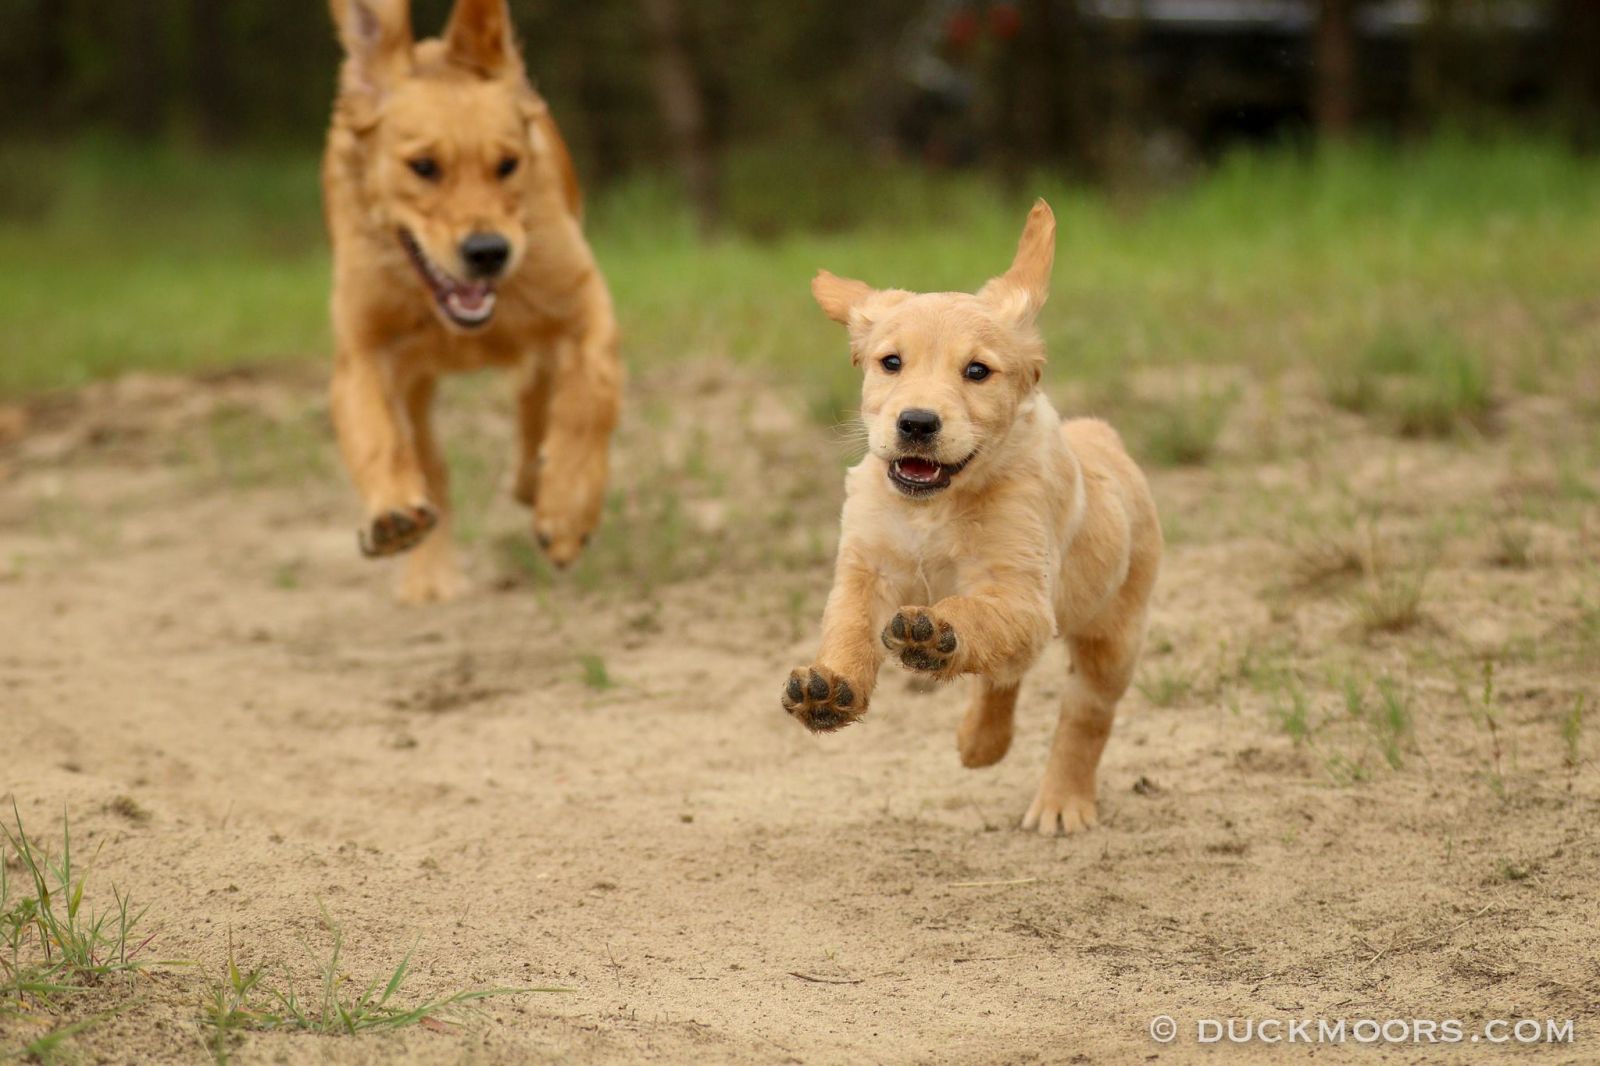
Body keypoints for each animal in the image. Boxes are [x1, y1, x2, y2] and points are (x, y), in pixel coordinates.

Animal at [323, 0, 617, 598]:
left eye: (507, 164)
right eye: (423, 167)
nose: (487, 252)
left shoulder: (584, 304)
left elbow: (586, 404)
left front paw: (566, 513)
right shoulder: (362, 347)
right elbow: (374, 430)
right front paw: (392, 512)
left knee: (536, 402)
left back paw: (534, 481)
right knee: (433, 462)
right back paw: (431, 576)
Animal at [777, 199, 1164, 832]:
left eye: (977, 371)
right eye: (891, 363)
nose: (916, 422)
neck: (935, 506)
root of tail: (1102, 434)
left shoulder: (1021, 593)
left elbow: (976, 616)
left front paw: (937, 634)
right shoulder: (865, 569)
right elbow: (849, 628)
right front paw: (827, 688)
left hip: (1114, 637)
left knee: (1084, 714)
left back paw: (1062, 802)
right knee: (1004, 674)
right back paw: (980, 742)